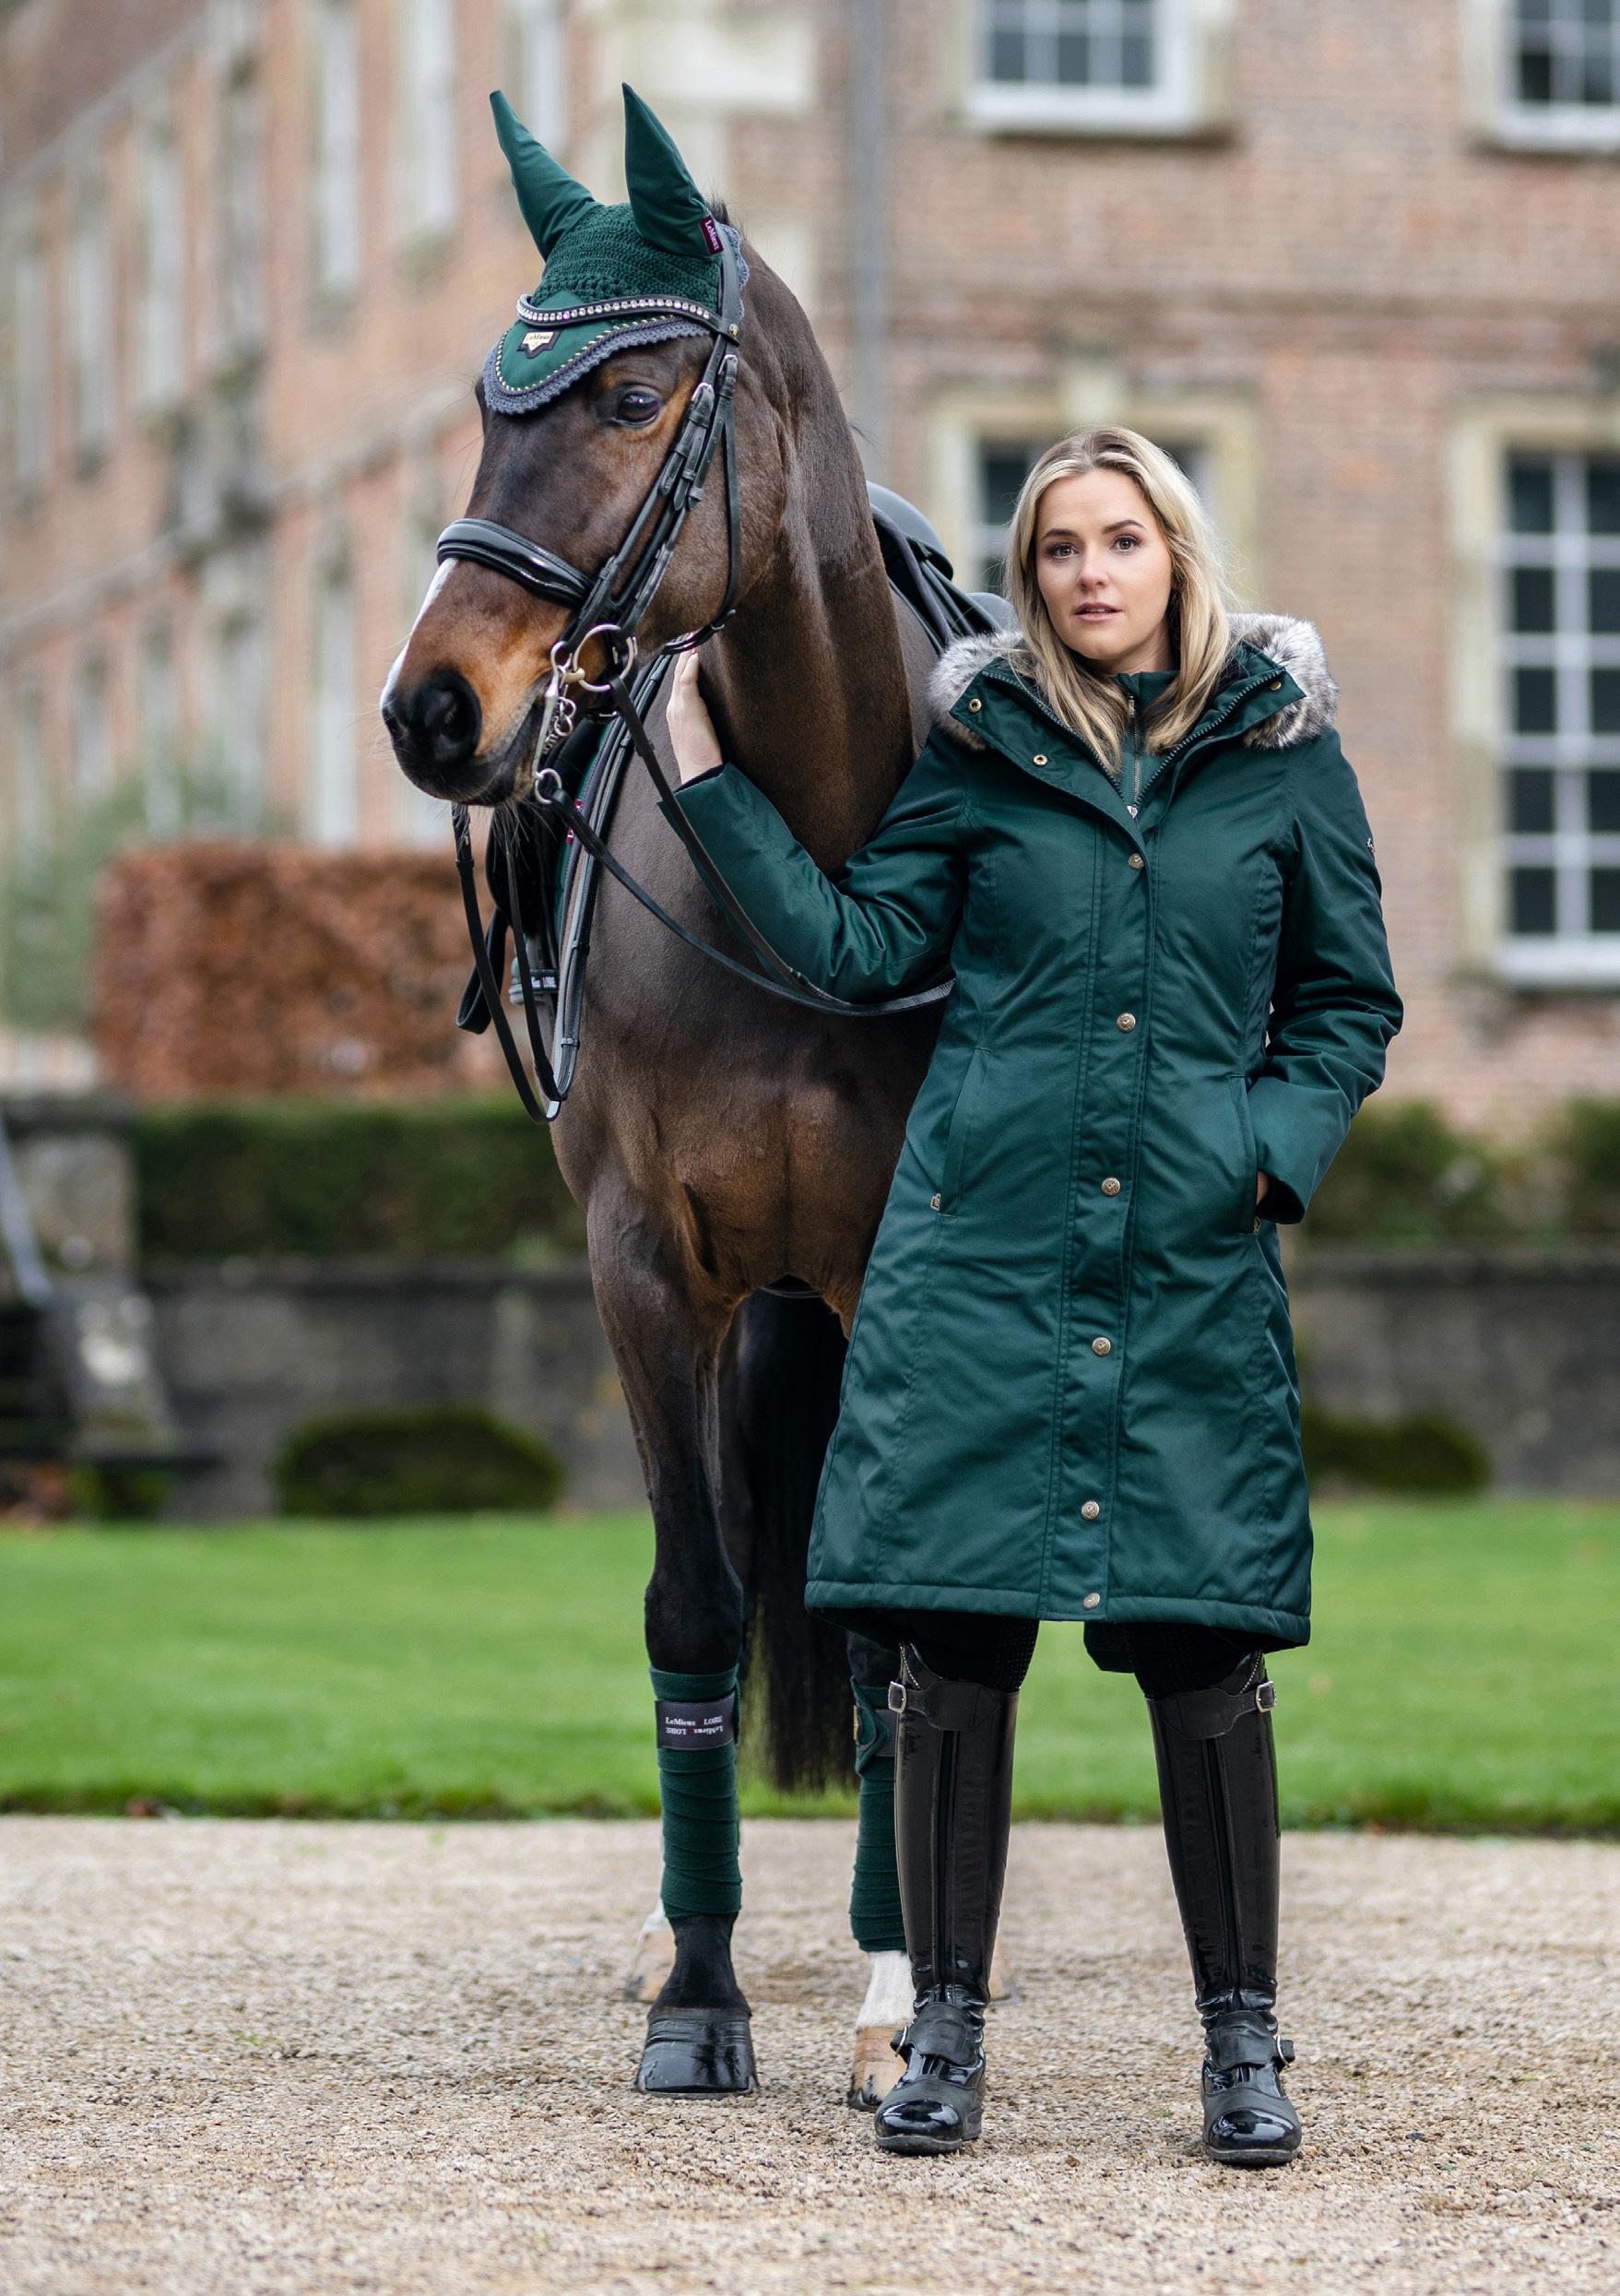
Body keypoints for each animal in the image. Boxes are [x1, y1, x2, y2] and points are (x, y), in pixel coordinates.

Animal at [381, 85, 985, 2105]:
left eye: (633, 398)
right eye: (489, 404)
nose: (431, 708)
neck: (813, 867)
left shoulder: (893, 1276)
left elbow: (884, 1636)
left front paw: (895, 2000)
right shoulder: (645, 1269)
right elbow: (695, 1608)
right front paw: (697, 1990)